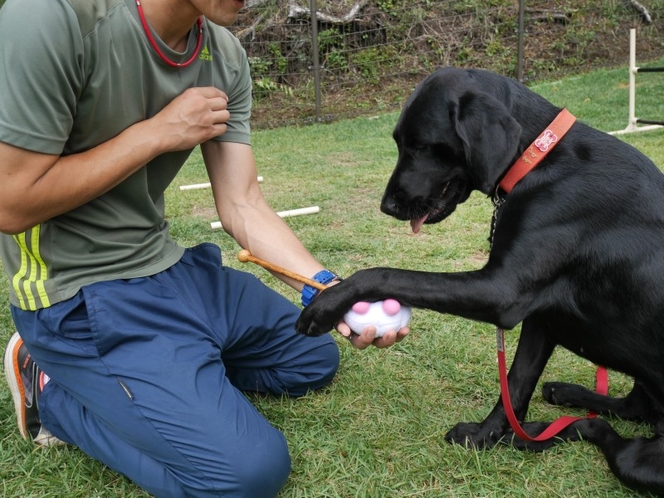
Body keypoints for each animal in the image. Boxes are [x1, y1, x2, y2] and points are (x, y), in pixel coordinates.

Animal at [298, 67, 664, 494]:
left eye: (421, 145)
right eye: (398, 142)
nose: (387, 206)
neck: (538, 159)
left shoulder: (503, 292)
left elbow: (388, 272)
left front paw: (326, 304)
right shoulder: (539, 317)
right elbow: (516, 383)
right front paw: (485, 437)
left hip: (638, 462)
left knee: (605, 431)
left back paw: (544, 428)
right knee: (628, 409)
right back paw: (555, 405)